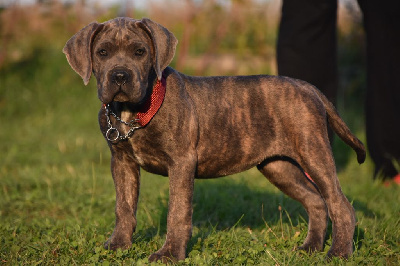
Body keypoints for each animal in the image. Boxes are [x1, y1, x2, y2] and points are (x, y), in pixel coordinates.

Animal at [63, 17, 366, 262]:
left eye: (140, 52)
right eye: (102, 52)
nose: (120, 75)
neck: (134, 111)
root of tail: (309, 88)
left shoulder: (181, 162)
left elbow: (178, 211)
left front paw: (170, 254)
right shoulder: (122, 163)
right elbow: (124, 207)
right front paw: (118, 245)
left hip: (313, 153)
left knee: (340, 205)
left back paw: (339, 252)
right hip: (279, 166)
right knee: (316, 201)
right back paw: (311, 247)